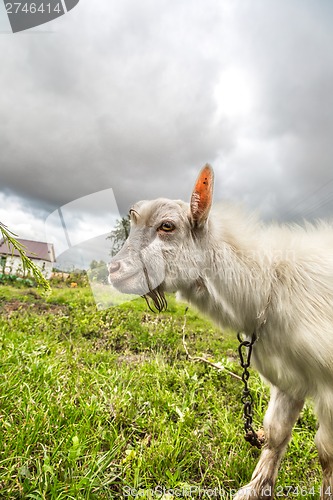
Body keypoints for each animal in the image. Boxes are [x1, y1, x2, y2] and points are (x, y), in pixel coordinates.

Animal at [109, 166, 333, 498]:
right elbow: (277, 434)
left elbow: (326, 453)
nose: (113, 269)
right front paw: (255, 489)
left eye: (167, 226)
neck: (268, 285)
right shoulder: (288, 378)